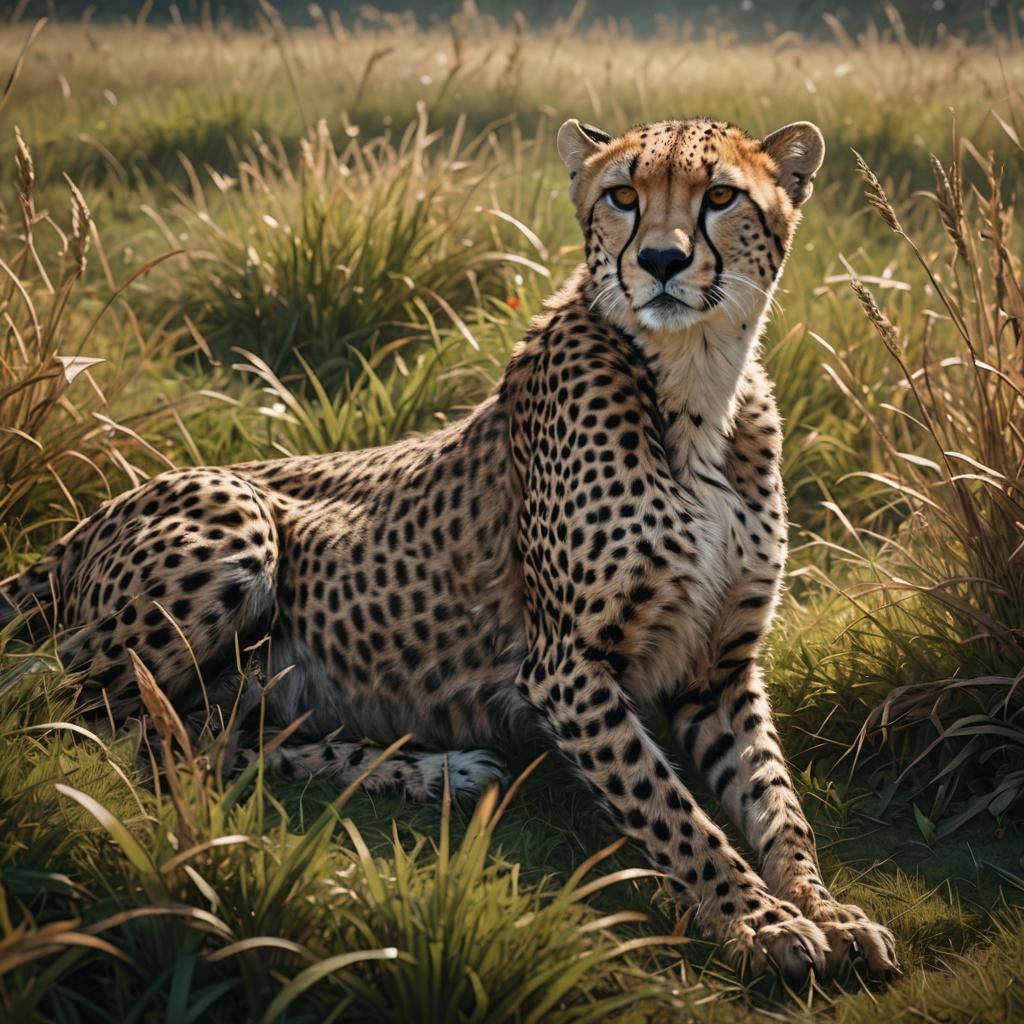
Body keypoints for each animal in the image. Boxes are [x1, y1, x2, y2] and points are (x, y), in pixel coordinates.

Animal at [1, 114, 898, 986]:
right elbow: (671, 809)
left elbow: (779, 804)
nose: (662, 261)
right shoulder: (565, 668)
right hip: (236, 519)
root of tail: (94, 513)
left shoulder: (718, 669)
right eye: (622, 194)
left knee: (198, 737)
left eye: (719, 195)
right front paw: (759, 923)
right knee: (102, 731)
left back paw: (435, 772)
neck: (699, 384)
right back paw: (434, 772)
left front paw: (827, 911)